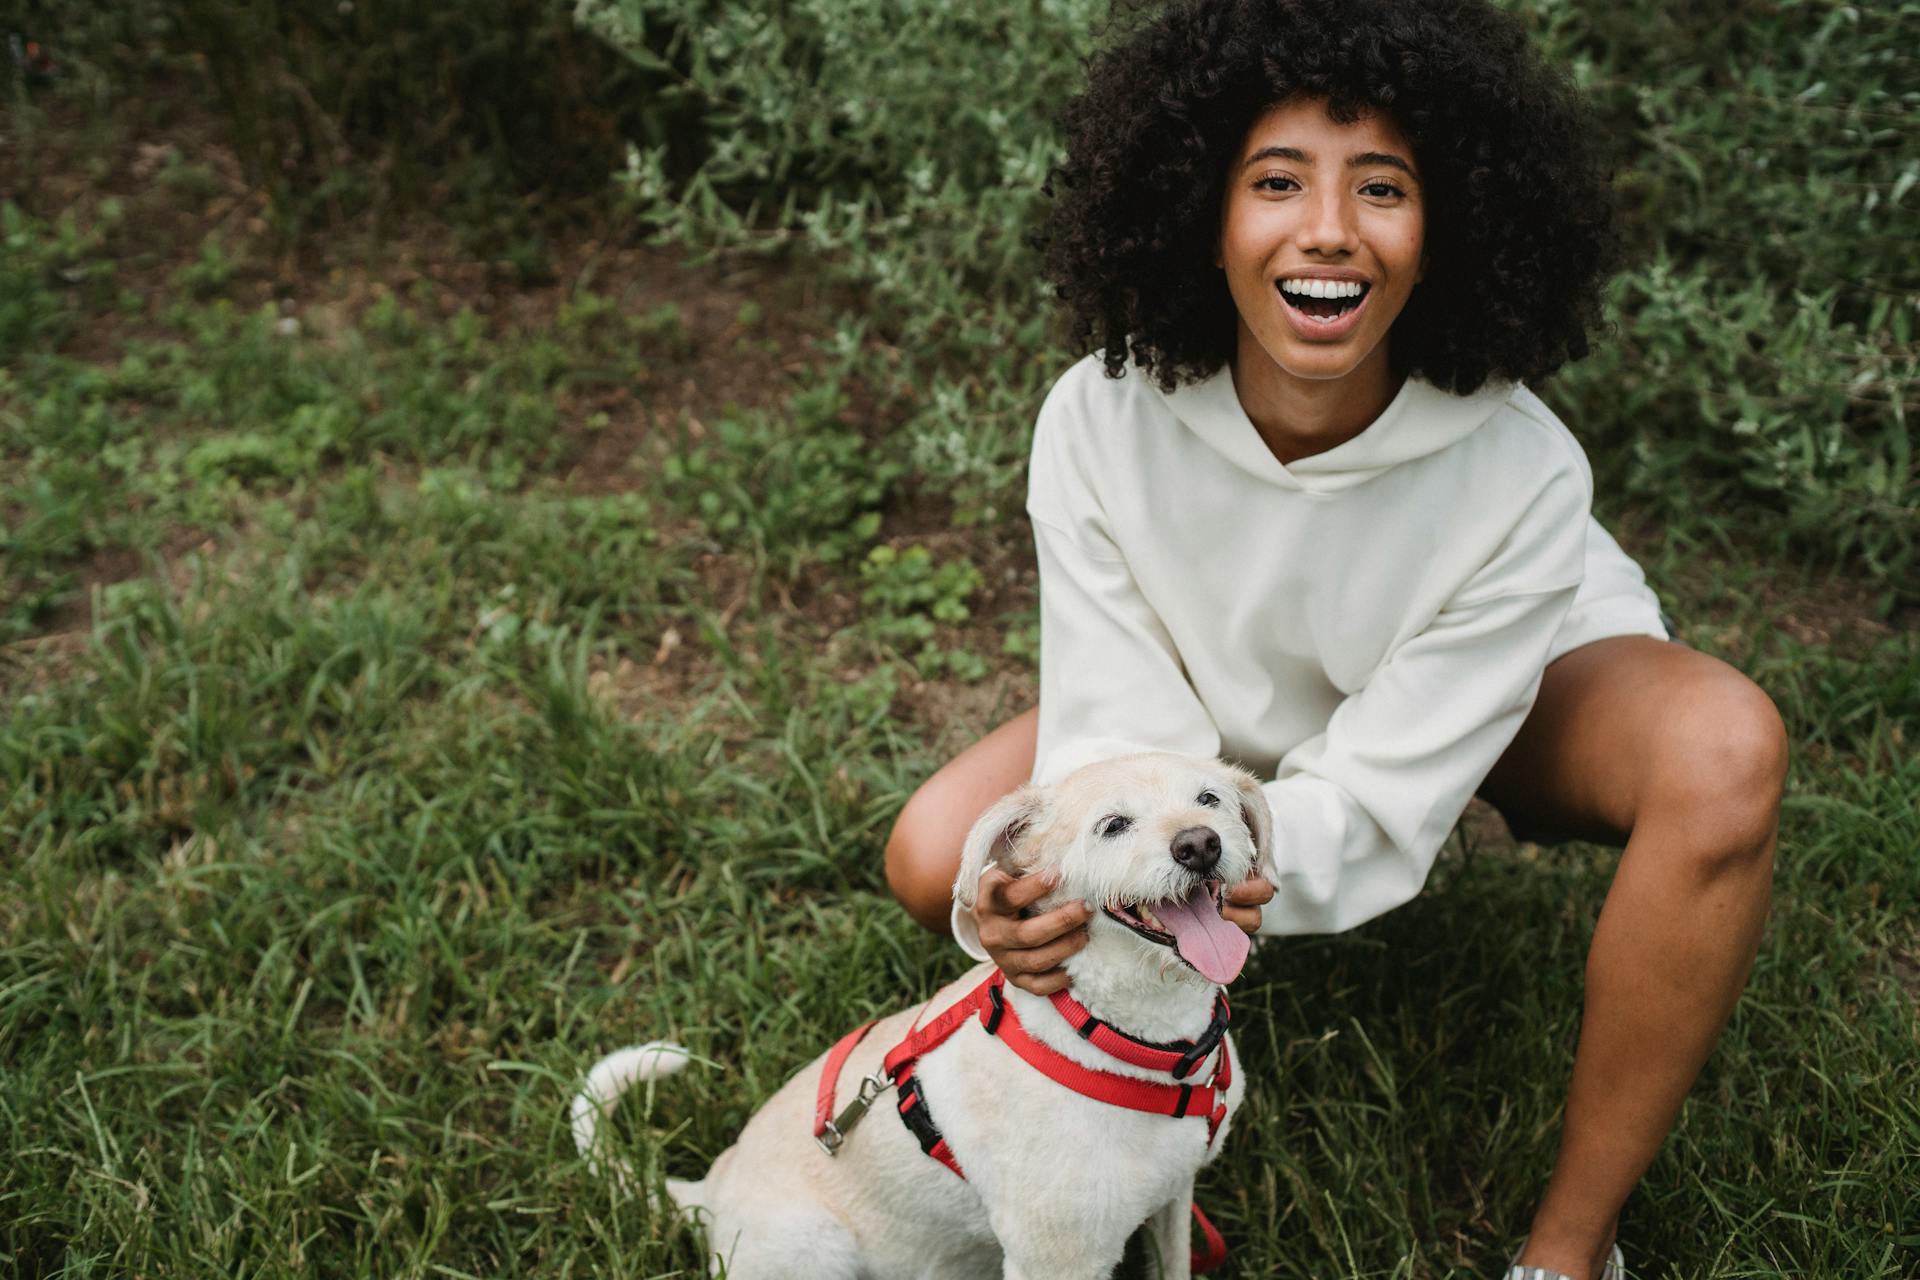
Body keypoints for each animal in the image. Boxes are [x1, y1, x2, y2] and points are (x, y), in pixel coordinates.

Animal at [568, 756, 1274, 1274]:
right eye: (1113, 824)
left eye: (1210, 799)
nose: (1199, 845)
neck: (1135, 1043)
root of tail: (709, 1194)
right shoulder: (1057, 1261)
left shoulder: (1173, 1199)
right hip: (817, 1253)